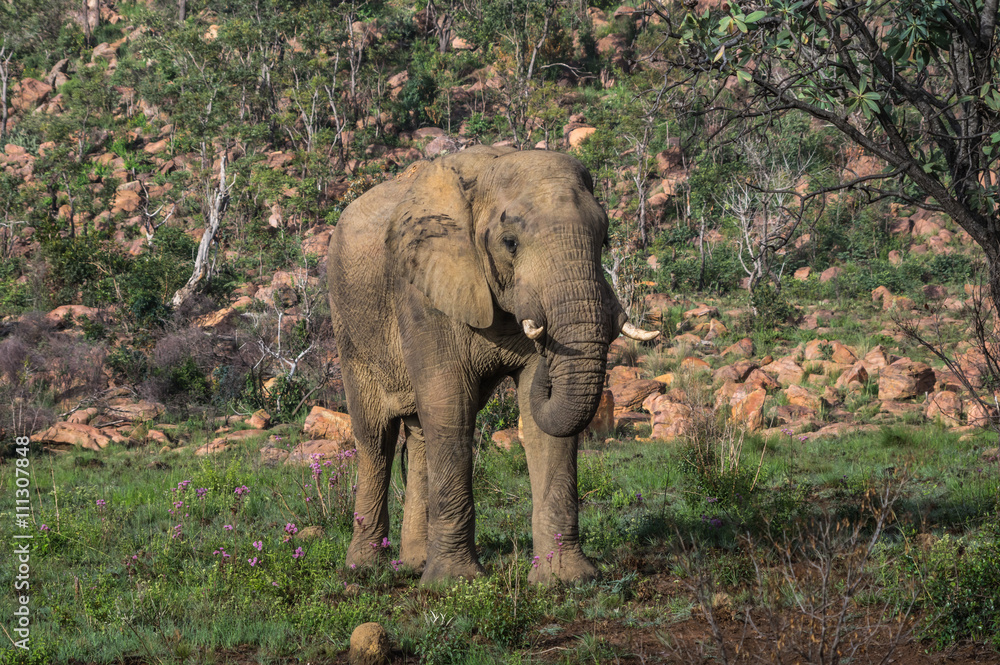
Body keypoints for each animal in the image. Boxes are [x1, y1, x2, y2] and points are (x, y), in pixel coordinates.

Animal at [326, 145, 658, 585]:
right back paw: (364, 569)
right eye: (510, 243)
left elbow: (541, 426)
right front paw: (454, 584)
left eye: (604, 239)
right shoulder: (420, 290)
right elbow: (450, 404)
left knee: (419, 434)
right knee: (376, 436)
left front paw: (564, 579)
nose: (547, 345)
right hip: (349, 324)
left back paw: (413, 564)